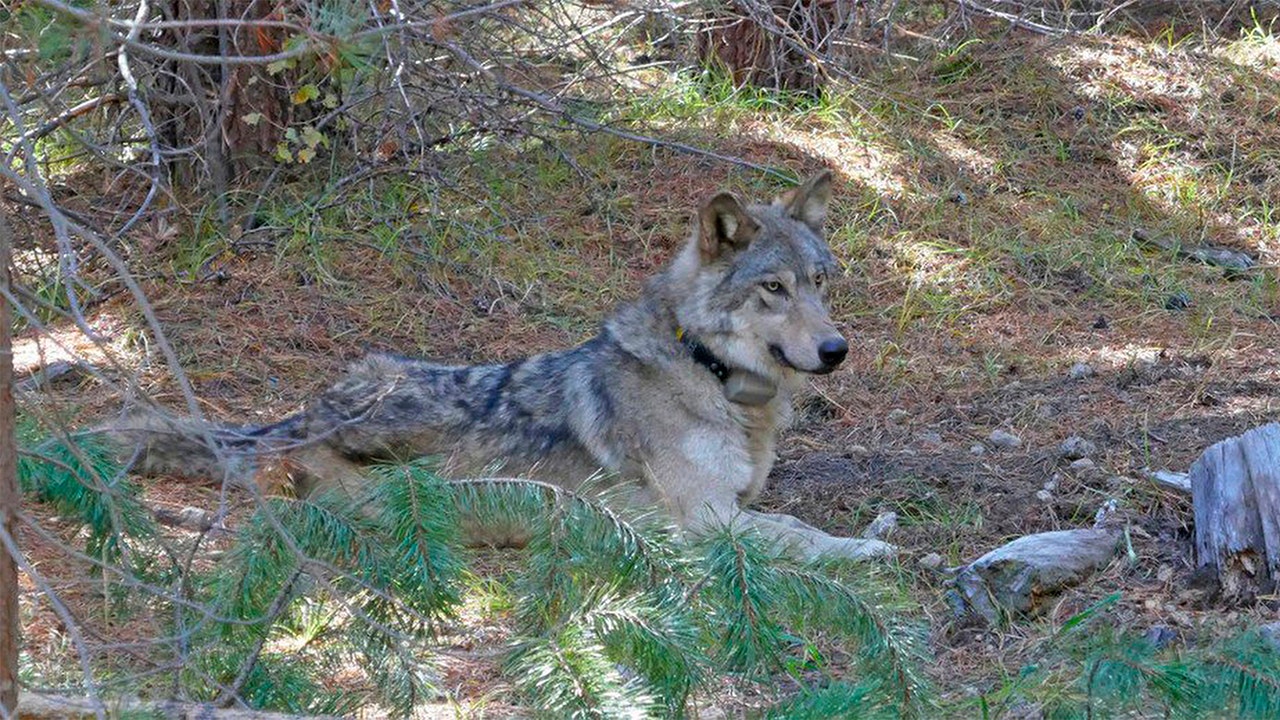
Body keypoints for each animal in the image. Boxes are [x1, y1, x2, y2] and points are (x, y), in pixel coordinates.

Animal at [117, 170, 890, 558]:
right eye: (774, 288)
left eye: (820, 282)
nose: (836, 350)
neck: (710, 374)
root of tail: (295, 419)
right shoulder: (705, 519)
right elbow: (799, 537)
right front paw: (864, 552)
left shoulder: (735, 502)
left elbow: (793, 522)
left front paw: (873, 531)